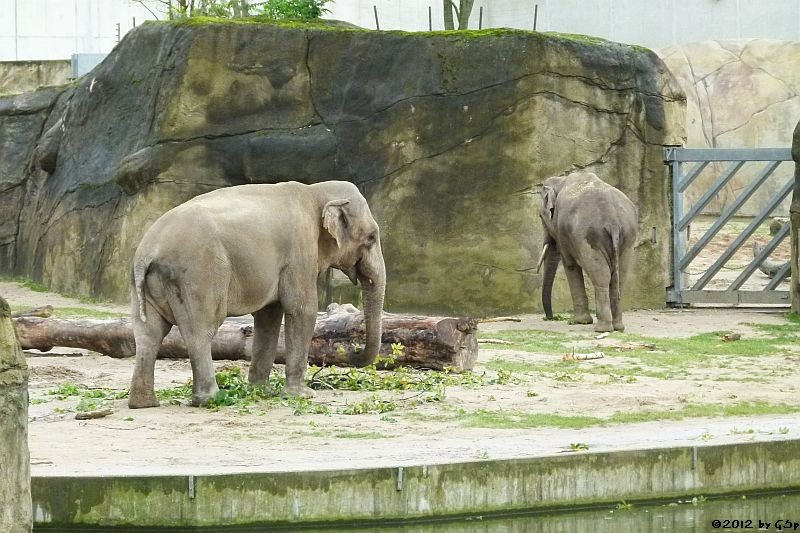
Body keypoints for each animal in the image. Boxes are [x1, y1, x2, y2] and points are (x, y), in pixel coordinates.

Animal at [128, 180, 384, 408]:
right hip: (198, 276)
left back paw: (144, 403)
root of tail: (147, 252)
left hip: (146, 285)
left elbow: (269, 316)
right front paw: (302, 395)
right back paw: (211, 400)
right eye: (371, 237)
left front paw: (261, 391)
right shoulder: (300, 251)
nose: (349, 351)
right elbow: (302, 310)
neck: (315, 191)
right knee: (200, 331)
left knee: (148, 334)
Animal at [536, 170, 636, 330]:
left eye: (541, 216)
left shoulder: (563, 232)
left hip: (590, 238)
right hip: (627, 238)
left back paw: (602, 328)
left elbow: (570, 265)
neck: (561, 180)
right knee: (618, 277)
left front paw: (577, 321)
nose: (550, 318)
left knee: (600, 276)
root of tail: (613, 222)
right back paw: (618, 327)